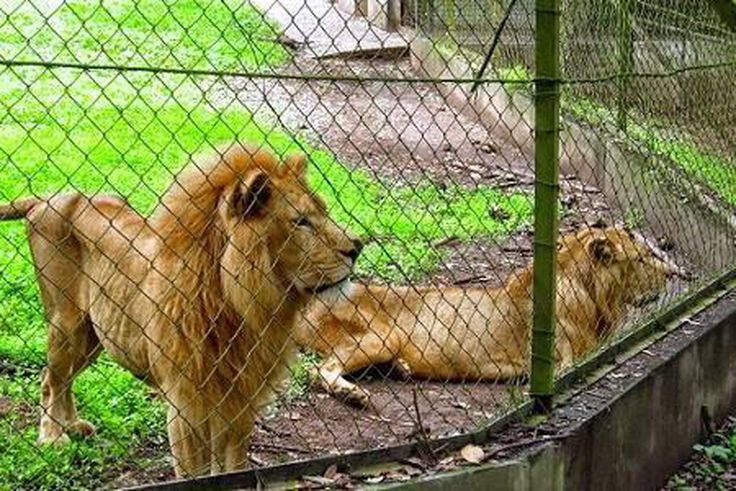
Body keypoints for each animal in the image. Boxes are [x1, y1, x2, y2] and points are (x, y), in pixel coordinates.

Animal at [0, 143, 362, 476]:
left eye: (322, 211)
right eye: (300, 222)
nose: (357, 247)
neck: (240, 307)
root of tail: (48, 197)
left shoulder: (238, 404)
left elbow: (232, 469)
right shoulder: (186, 407)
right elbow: (197, 475)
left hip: (93, 336)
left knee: (63, 381)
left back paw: (73, 426)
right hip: (66, 323)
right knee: (50, 380)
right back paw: (53, 437)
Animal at [295, 226, 683, 407]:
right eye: (643, 258)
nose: (674, 274)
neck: (591, 291)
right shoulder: (562, 365)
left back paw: (401, 369)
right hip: (383, 336)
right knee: (320, 370)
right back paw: (352, 394)